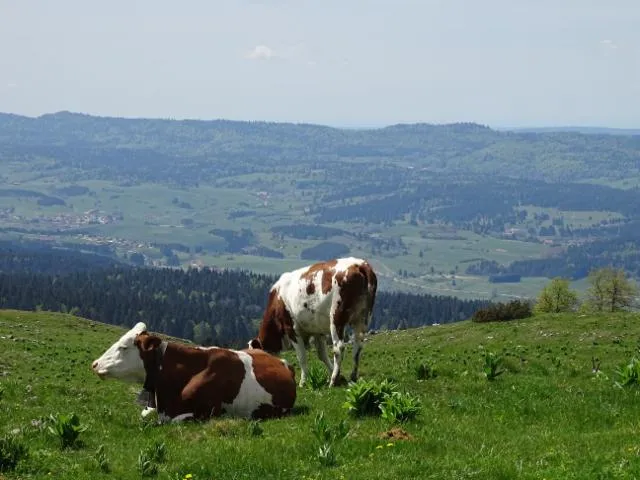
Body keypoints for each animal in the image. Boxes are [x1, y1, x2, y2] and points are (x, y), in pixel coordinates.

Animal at [249, 256, 380, 388]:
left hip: (337, 316)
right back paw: (352, 377)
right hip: (363, 316)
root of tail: (359, 264)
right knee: (358, 345)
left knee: (339, 347)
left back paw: (333, 380)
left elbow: (302, 357)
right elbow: (322, 355)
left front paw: (303, 382)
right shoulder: (317, 330)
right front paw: (338, 375)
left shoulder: (292, 328)